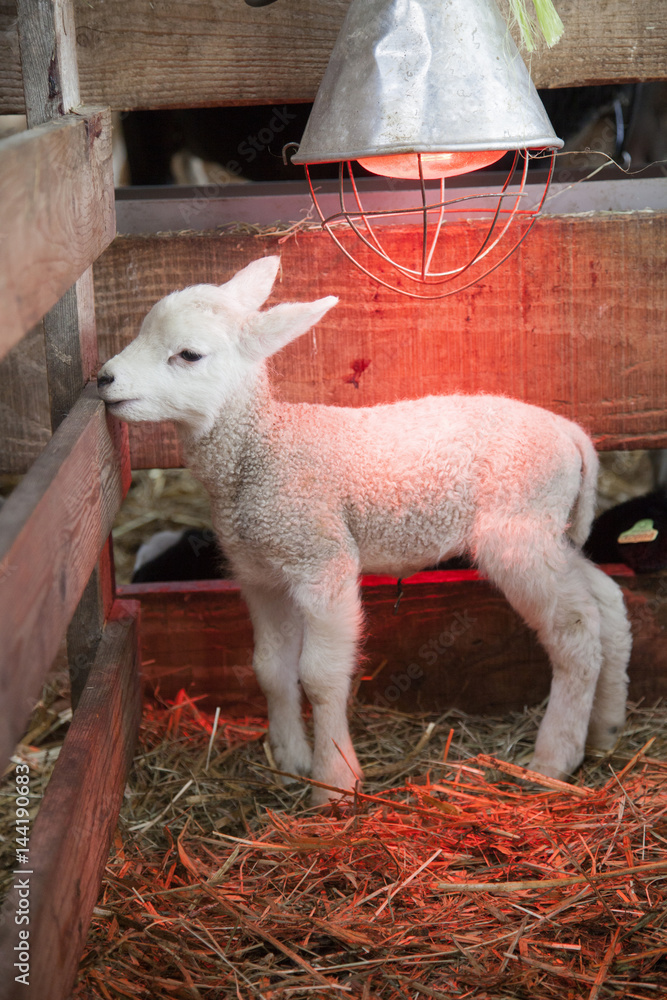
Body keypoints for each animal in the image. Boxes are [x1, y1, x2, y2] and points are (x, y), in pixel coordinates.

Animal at [97, 255, 632, 805]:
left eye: (189, 354)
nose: (104, 378)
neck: (260, 448)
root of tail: (572, 434)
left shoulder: (322, 560)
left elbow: (319, 677)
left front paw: (333, 784)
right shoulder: (262, 573)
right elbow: (270, 668)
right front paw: (290, 760)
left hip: (517, 533)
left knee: (575, 629)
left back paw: (553, 760)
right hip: (549, 530)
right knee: (607, 602)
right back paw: (606, 728)